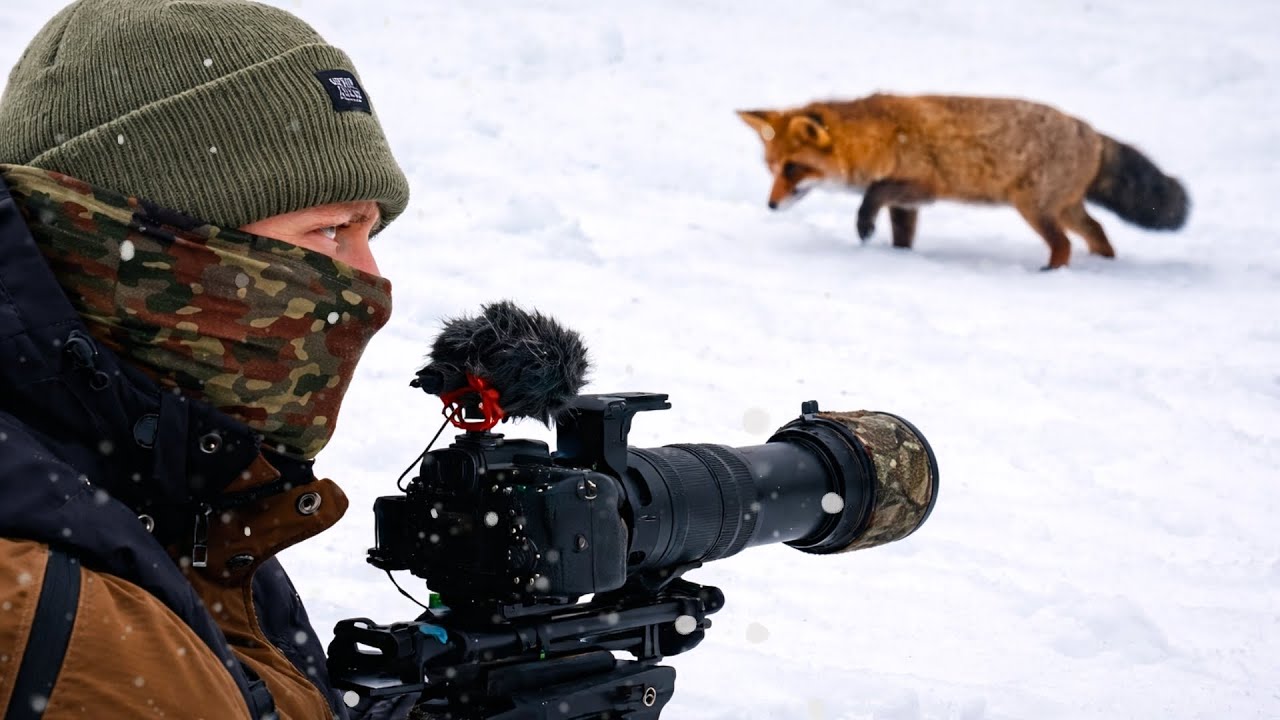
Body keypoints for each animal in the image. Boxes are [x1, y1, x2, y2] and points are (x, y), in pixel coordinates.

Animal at [736, 94, 1189, 269]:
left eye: (792, 169)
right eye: (771, 167)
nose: (771, 205)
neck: (881, 136)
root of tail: (1090, 132)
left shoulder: (923, 187)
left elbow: (871, 194)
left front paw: (864, 225)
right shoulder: (908, 205)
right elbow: (901, 237)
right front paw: (898, 257)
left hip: (1036, 209)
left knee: (1063, 244)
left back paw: (1049, 274)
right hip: (1064, 209)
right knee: (1097, 232)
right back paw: (1102, 265)